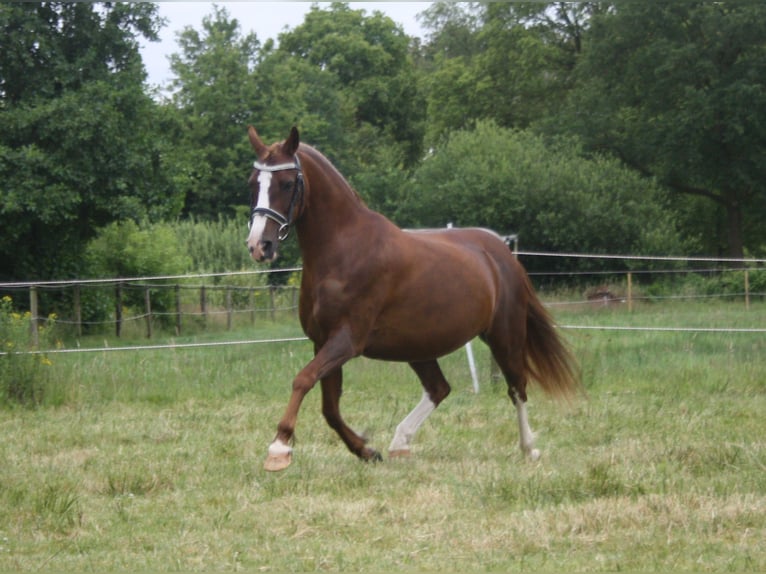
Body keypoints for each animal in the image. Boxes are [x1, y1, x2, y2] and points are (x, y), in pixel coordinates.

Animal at [244, 127, 576, 472]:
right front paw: (366, 450)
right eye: (253, 182)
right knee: (439, 388)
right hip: (419, 345)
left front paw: (279, 448)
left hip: (503, 335)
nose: (259, 246)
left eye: (287, 183)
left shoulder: (346, 341)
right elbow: (330, 408)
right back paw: (399, 443)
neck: (343, 250)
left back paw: (529, 448)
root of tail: (502, 254)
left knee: (517, 387)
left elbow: (303, 380)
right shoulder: (322, 341)